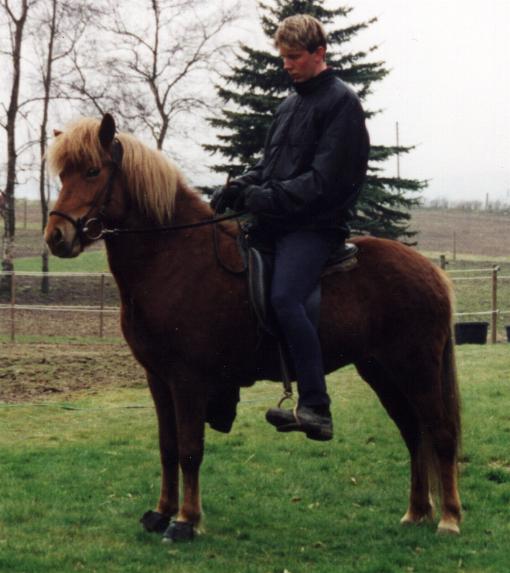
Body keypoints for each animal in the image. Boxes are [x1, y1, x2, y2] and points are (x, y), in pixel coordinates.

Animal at [43, 114, 462, 540]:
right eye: (62, 175)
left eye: (93, 171)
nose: (56, 237)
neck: (173, 257)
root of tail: (431, 271)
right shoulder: (158, 379)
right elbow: (167, 447)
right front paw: (161, 512)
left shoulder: (188, 379)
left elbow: (190, 450)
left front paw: (185, 521)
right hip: (382, 371)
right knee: (414, 434)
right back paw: (416, 512)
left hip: (416, 369)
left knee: (441, 434)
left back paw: (449, 518)